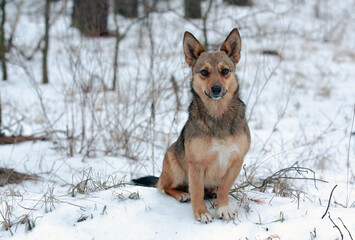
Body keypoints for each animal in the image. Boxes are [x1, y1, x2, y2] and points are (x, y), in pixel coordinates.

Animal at [133, 29, 250, 223]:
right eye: (204, 72)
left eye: (225, 71)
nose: (216, 89)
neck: (217, 115)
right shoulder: (195, 165)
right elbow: (196, 191)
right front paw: (201, 212)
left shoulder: (236, 161)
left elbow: (224, 188)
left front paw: (223, 208)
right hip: (174, 166)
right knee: (165, 186)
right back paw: (181, 194)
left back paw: (212, 192)